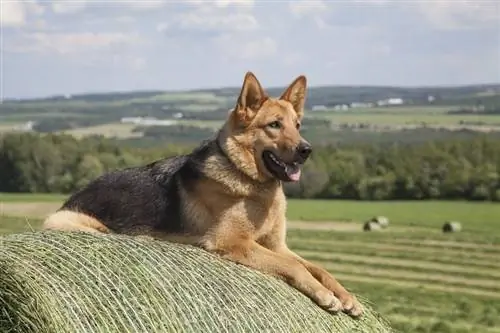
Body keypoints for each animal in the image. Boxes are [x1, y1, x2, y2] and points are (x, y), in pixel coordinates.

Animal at [42, 72, 364, 316]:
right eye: (274, 125)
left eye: (297, 126)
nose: (307, 150)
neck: (248, 179)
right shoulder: (234, 241)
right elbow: (294, 267)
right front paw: (324, 295)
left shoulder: (277, 245)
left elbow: (317, 267)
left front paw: (346, 295)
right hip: (81, 226)